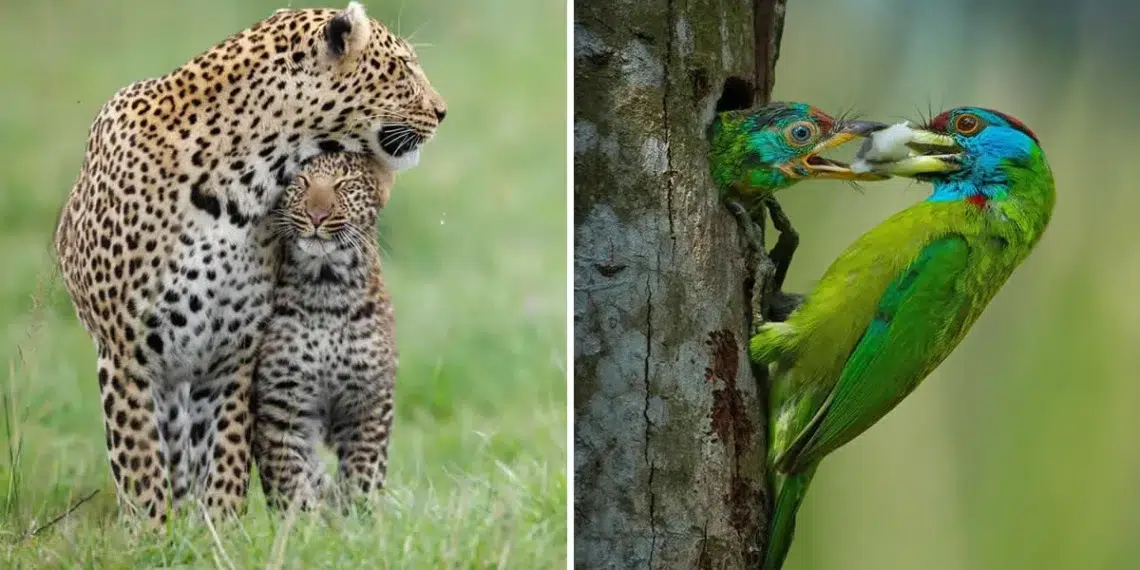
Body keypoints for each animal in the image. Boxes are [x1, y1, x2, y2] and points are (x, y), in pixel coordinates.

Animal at [252, 151, 397, 512]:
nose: (317, 215)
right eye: (300, 180)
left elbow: (363, 475)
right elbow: (290, 481)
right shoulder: (280, 407)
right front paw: (305, 522)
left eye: (344, 183)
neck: (326, 286)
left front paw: (358, 519)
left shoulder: (370, 402)